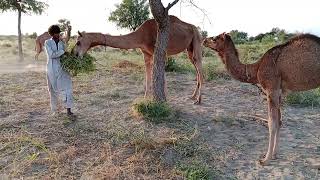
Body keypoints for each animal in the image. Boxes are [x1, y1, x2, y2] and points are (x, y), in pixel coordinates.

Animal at [74, 15, 204, 104]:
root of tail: (195, 28)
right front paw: (146, 99)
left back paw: (198, 100)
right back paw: (193, 96)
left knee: (199, 67)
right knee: (196, 68)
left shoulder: (159, 52)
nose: (75, 54)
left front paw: (164, 100)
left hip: (197, 40)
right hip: (189, 49)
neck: (141, 35)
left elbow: (161, 77)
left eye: (78, 42)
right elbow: (148, 76)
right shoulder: (146, 54)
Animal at [204, 32, 320, 166]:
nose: (204, 40)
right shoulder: (279, 92)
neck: (257, 68)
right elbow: (279, 121)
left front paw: (265, 159)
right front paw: (274, 154)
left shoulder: (271, 89)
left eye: (214, 38)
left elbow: (271, 123)